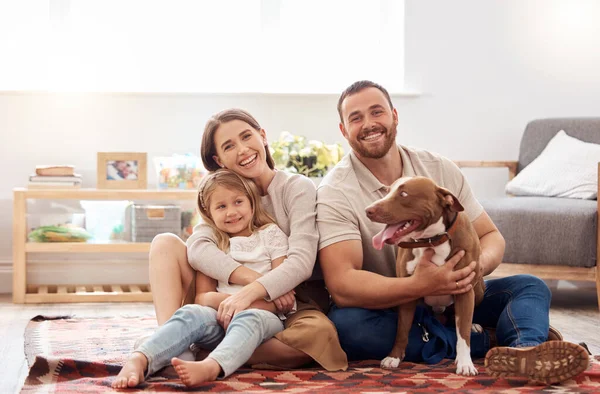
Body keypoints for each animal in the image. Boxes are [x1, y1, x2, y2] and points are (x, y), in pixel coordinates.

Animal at [366, 175, 482, 376]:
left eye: (404, 194)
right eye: (387, 191)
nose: (368, 210)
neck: (431, 240)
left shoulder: (465, 290)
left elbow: (463, 332)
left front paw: (465, 363)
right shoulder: (407, 291)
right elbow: (402, 329)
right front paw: (394, 357)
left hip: (479, 288)